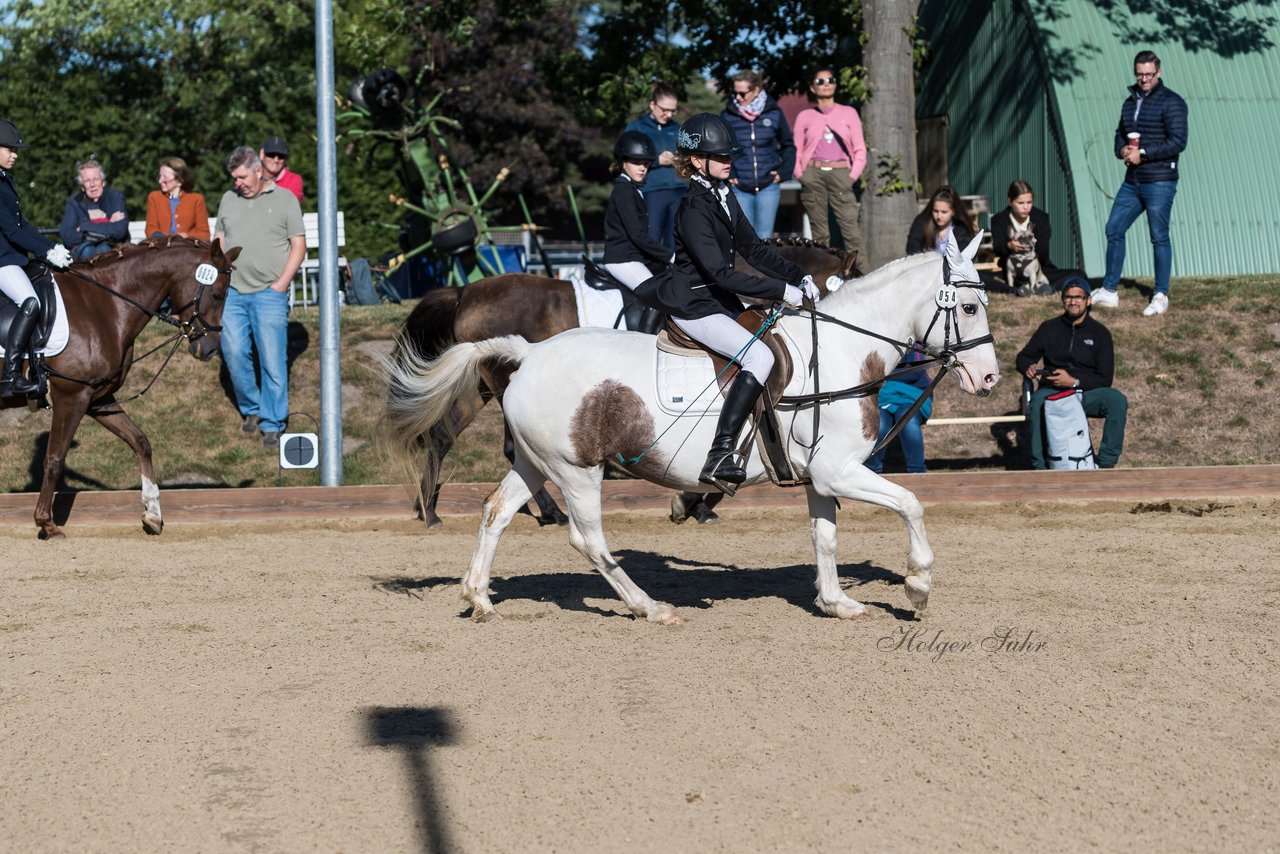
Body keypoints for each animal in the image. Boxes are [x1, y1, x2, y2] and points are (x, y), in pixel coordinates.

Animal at [0, 236, 240, 537]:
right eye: (217, 295)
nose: (209, 350)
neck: (103, 305)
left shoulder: (98, 398)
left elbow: (140, 441)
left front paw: (152, 514)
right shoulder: (71, 397)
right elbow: (55, 458)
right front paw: (46, 522)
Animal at [399, 236, 860, 524]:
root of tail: (465, 291)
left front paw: (696, 501)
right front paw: (692, 501)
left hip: (481, 385)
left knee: (444, 436)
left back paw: (431, 510)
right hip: (498, 384)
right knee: (499, 446)